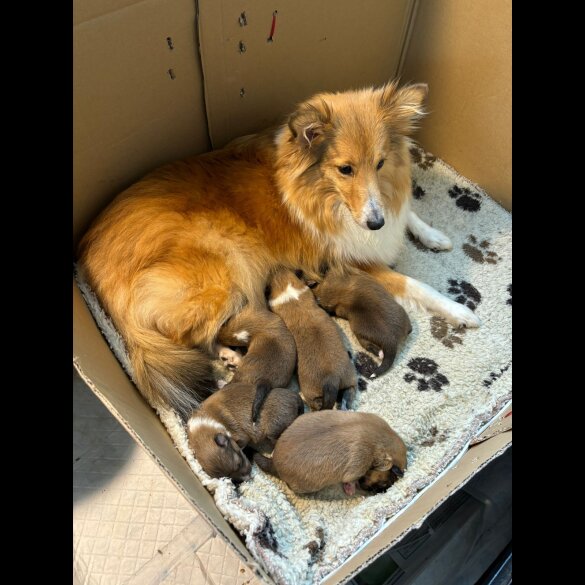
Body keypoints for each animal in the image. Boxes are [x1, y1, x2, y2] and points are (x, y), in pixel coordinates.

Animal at [256, 408, 406, 496]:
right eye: (384, 483)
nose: (380, 492)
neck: (381, 435)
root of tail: (274, 461)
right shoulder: (359, 463)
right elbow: (351, 479)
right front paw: (351, 488)